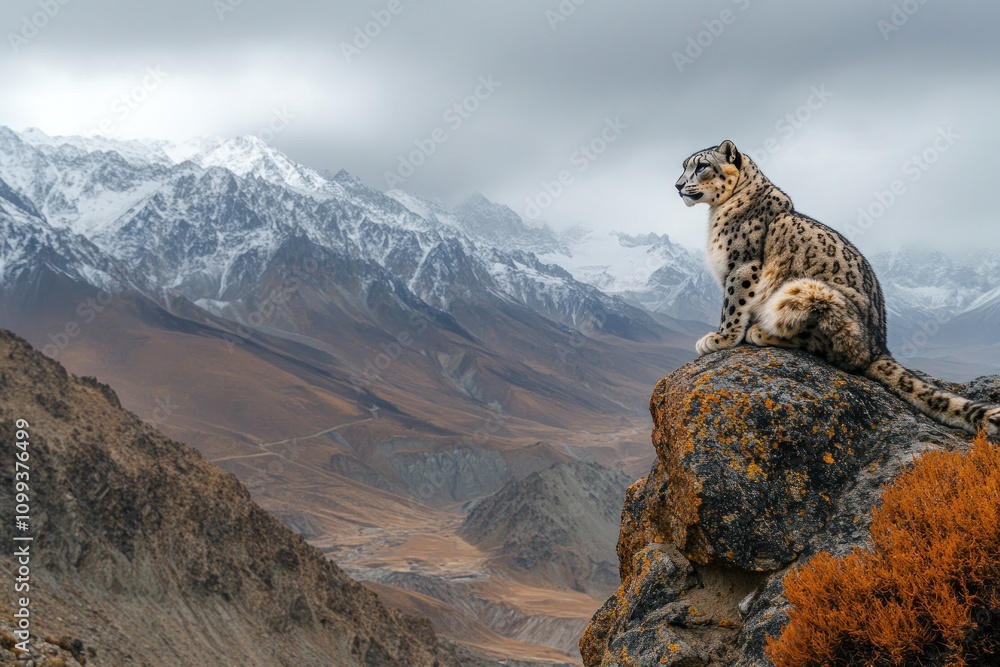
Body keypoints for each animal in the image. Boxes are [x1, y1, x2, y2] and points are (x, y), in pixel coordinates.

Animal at [674, 139, 999, 436]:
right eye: (684, 166)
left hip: (806, 291)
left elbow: (733, 303)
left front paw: (720, 339)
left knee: (822, 346)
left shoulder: (742, 265)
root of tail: (879, 346)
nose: (677, 186)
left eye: (701, 166)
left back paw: (762, 332)